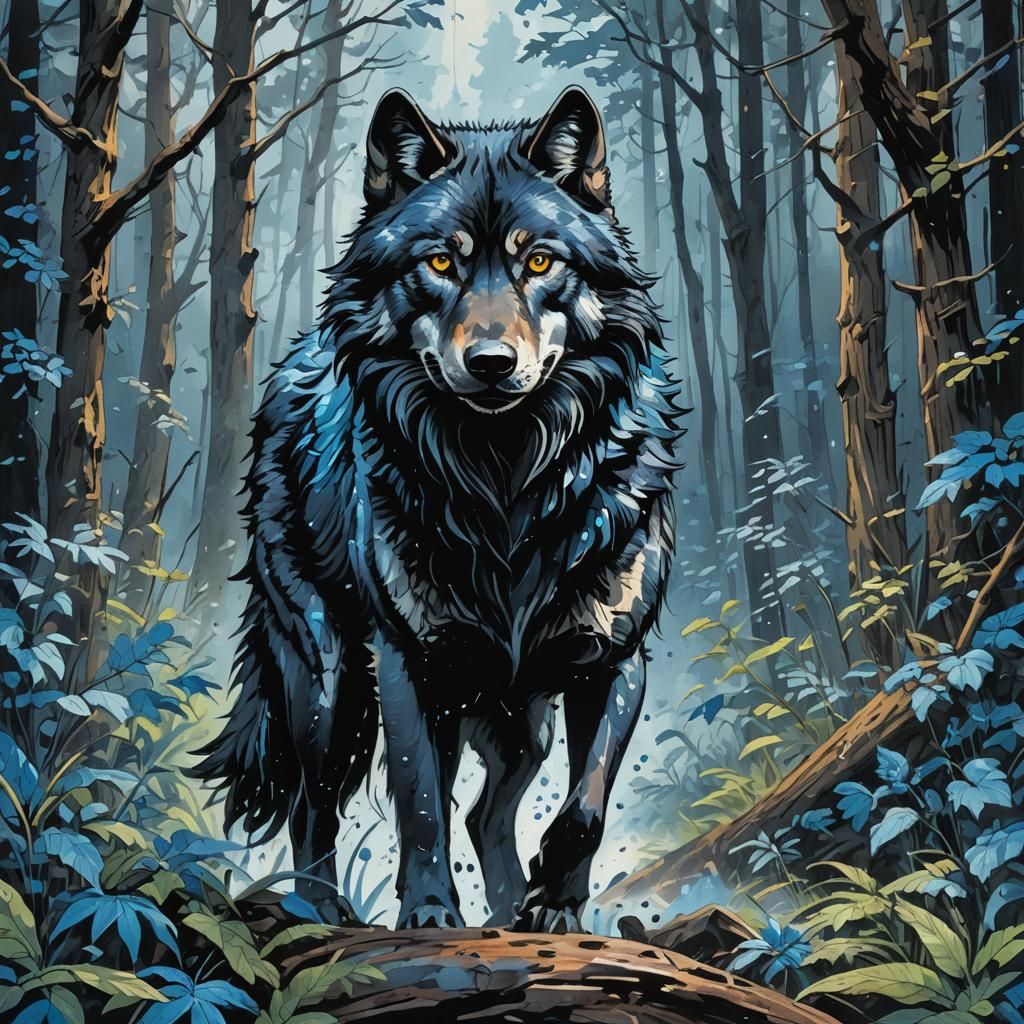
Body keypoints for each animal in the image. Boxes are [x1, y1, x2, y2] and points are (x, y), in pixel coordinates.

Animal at [193, 86, 682, 931]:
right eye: (441, 261)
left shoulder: (612, 662)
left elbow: (584, 807)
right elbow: (422, 801)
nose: (490, 363)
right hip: (331, 690)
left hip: (521, 719)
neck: (507, 485)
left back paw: (512, 909)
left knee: (488, 812)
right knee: (314, 803)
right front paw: (428, 914)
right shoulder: (412, 664)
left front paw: (556, 906)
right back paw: (326, 912)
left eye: (539, 261)